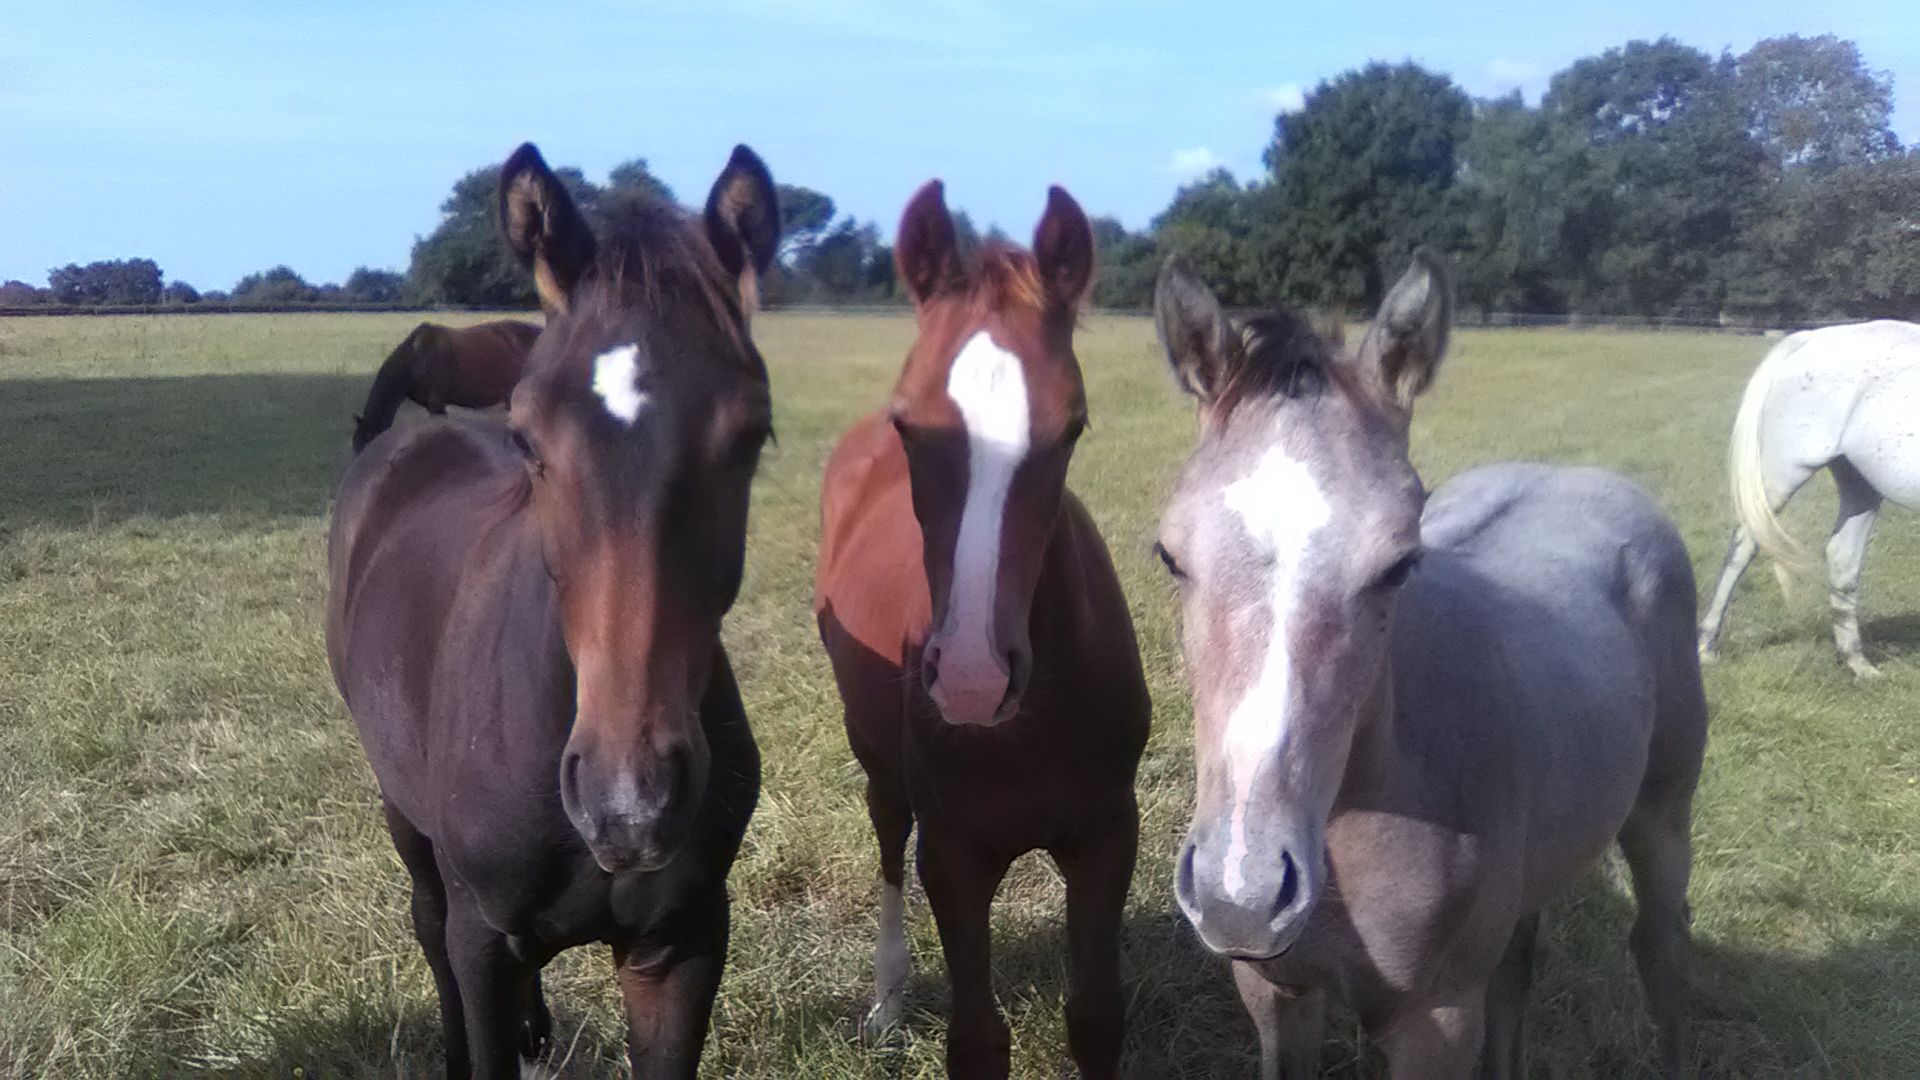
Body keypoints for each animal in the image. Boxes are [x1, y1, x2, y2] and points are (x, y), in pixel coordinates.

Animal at [814, 180, 1144, 1068]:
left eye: (1072, 426)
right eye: (909, 424)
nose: (971, 679)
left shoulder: (1108, 834)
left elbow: (1096, 1018)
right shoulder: (954, 853)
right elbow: (976, 1040)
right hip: (878, 762)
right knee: (887, 842)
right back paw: (887, 1001)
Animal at [1697, 317, 1920, 672]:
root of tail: (1811, 337)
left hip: (1859, 484)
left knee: (1842, 558)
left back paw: (1857, 663)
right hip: (1783, 474)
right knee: (1743, 546)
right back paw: (1706, 646)